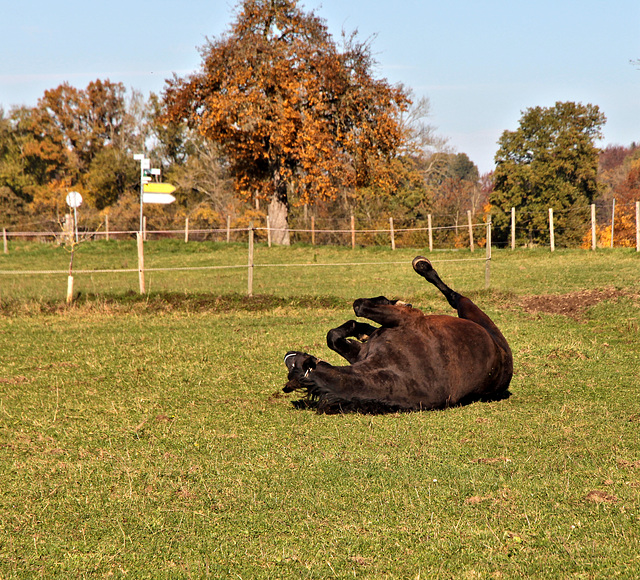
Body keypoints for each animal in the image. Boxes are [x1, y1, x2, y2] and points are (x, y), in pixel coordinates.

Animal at [282, 258, 512, 412]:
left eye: (297, 362)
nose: (287, 354)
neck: (394, 370)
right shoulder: (362, 352)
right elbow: (340, 331)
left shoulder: (408, 319)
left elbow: (357, 309)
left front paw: (387, 304)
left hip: (470, 310)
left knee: (454, 296)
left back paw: (422, 267)